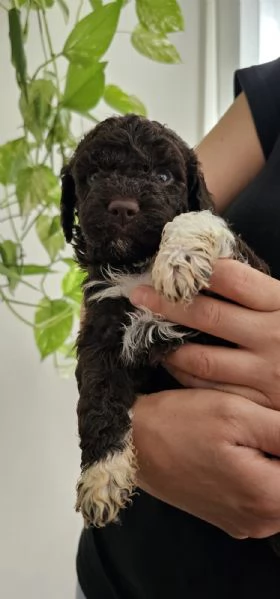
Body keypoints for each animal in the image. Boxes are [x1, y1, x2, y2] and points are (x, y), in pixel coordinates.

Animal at [59, 115, 270, 532]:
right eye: (95, 176)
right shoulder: (101, 333)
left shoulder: (245, 274)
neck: (137, 264)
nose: (122, 208)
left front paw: (178, 259)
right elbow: (97, 399)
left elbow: (197, 216)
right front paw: (102, 476)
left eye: (162, 176)